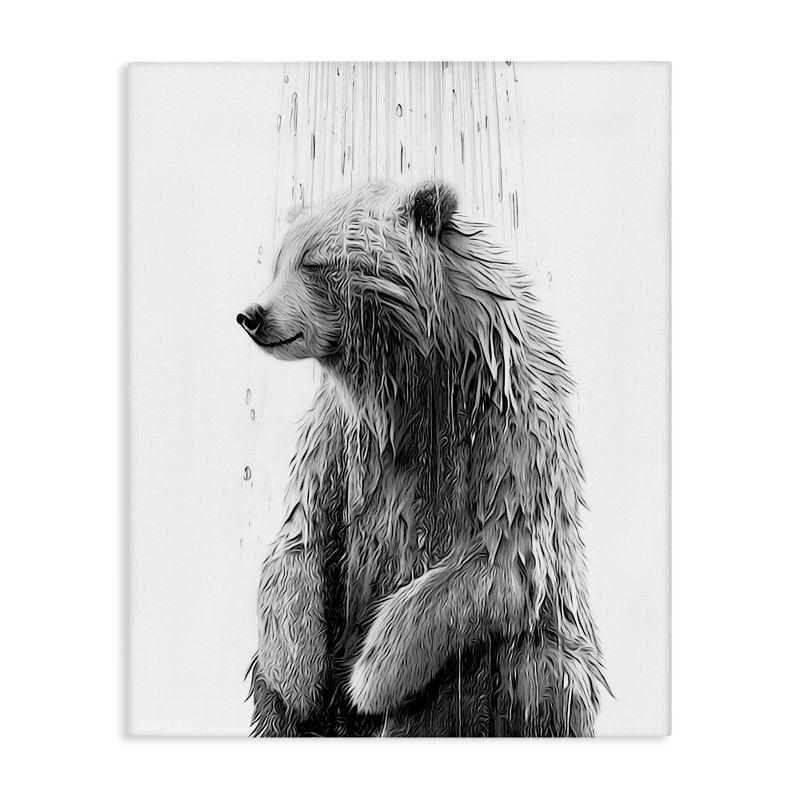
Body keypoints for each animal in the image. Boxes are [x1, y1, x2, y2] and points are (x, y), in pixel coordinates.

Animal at [237, 181, 607, 737]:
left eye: (315, 263)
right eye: (278, 260)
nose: (252, 315)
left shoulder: (505, 421)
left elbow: (499, 556)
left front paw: (369, 677)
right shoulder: (341, 436)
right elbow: (300, 537)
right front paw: (301, 681)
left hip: (541, 656)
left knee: (536, 673)